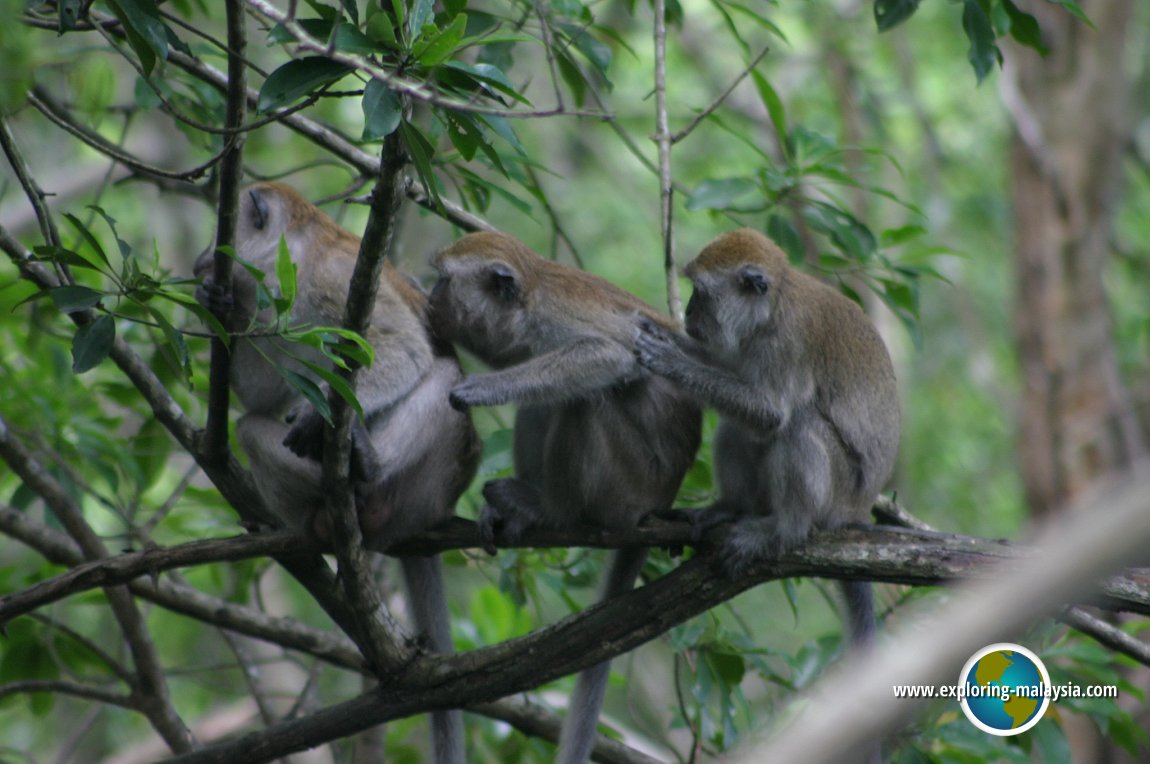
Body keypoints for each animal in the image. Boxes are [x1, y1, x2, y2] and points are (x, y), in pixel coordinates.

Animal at [430, 232, 699, 764]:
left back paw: (550, 509)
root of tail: (658, 503)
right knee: (548, 402)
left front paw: (480, 388)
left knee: (584, 397)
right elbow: (517, 360)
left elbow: (609, 357)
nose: (430, 297)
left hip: (626, 486)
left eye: (444, 280)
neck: (531, 295)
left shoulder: (554, 318)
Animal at [639, 226, 897, 644]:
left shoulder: (786, 343)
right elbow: (730, 375)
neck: (771, 310)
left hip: (838, 497)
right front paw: (658, 332)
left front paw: (669, 360)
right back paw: (731, 508)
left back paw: (784, 531)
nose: (689, 312)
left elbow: (771, 414)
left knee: (799, 427)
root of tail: (857, 511)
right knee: (736, 429)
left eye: (701, 292)